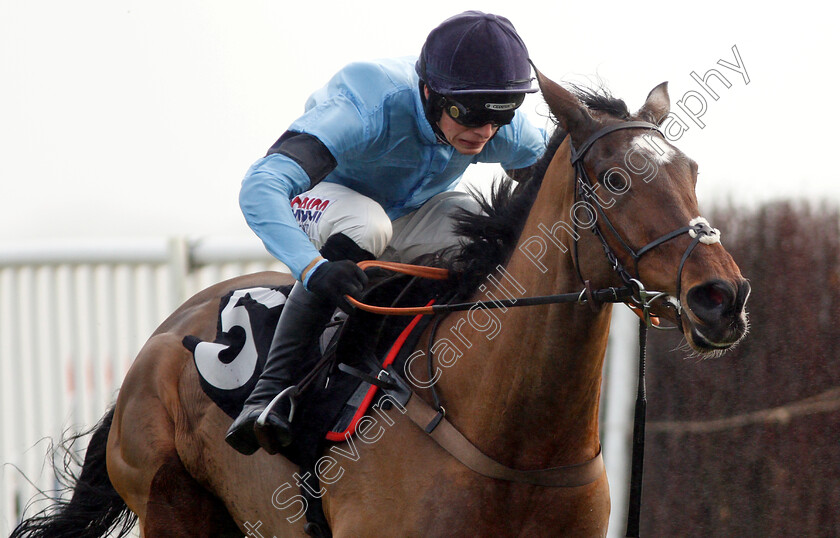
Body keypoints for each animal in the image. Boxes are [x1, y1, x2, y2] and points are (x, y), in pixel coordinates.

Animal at [11, 72, 748, 536]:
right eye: (614, 179)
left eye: (692, 171)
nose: (722, 295)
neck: (514, 441)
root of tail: (159, 338)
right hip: (172, 511)